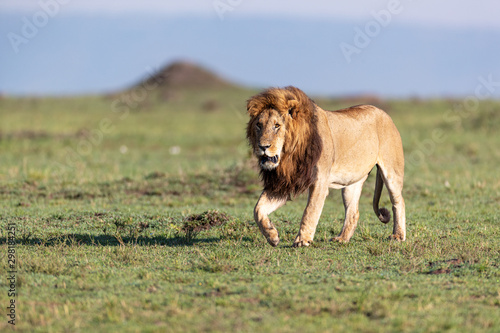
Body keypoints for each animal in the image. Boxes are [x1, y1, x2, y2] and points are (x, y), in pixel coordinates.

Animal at [246, 85, 406, 246]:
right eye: (259, 125)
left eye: (277, 126)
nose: (262, 146)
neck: (289, 156)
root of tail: (383, 112)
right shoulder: (284, 182)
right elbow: (257, 209)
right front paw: (272, 235)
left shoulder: (320, 181)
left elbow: (310, 211)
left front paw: (302, 240)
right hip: (351, 182)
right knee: (353, 211)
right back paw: (342, 238)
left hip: (392, 173)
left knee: (399, 202)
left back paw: (398, 235)